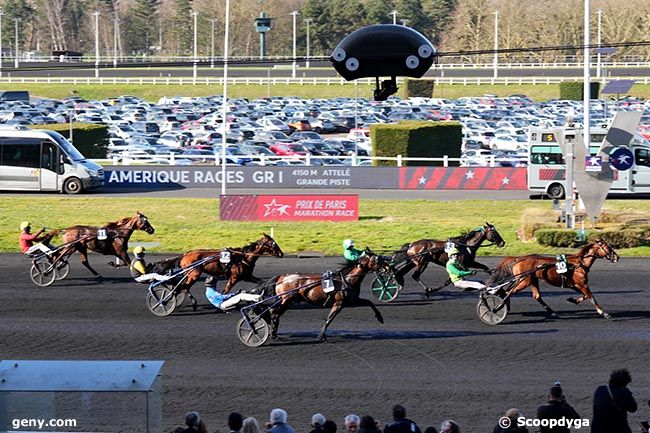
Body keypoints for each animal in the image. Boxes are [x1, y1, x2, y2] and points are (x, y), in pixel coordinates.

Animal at [486, 240, 616, 318]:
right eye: (608, 247)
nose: (616, 257)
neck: (579, 263)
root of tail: (518, 259)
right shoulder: (581, 284)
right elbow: (591, 297)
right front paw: (603, 313)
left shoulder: (575, 285)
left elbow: (584, 296)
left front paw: (572, 300)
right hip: (524, 281)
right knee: (508, 292)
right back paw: (500, 307)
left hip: (531, 280)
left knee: (536, 296)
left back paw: (552, 312)